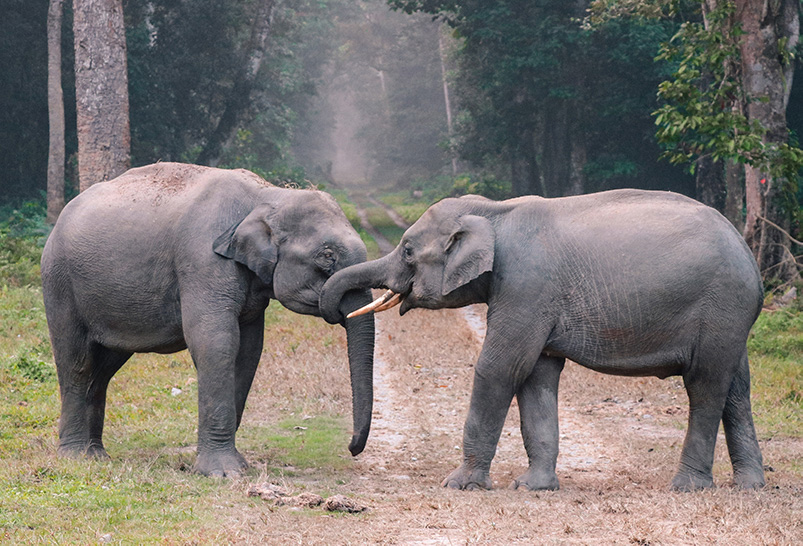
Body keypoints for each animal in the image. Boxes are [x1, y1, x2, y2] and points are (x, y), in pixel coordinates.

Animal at [45, 159, 378, 474]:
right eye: (327, 256)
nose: (352, 448)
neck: (268, 195)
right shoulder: (202, 261)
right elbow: (216, 343)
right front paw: (224, 473)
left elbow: (249, 350)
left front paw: (239, 466)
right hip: (60, 282)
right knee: (76, 362)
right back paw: (75, 456)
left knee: (104, 368)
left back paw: (97, 455)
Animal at [320, 187, 768, 488]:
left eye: (408, 251)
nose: (353, 450)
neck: (494, 211)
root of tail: (750, 254)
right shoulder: (534, 298)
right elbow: (537, 375)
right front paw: (533, 487)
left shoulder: (526, 286)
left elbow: (500, 367)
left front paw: (459, 485)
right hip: (731, 317)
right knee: (736, 387)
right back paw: (749, 486)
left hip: (722, 304)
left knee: (705, 385)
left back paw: (688, 487)